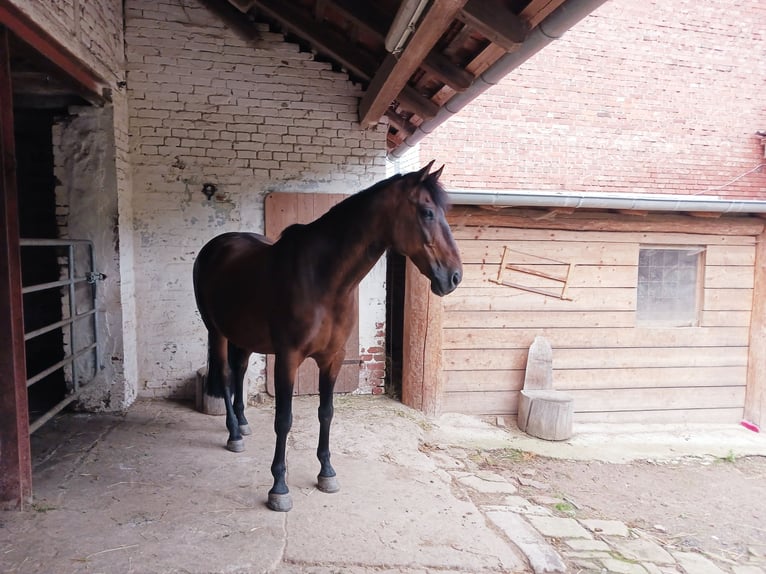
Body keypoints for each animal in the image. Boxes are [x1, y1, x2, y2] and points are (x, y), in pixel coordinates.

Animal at [195, 162, 464, 512]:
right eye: (427, 212)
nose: (455, 276)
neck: (322, 279)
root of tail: (215, 247)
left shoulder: (333, 359)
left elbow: (327, 412)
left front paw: (327, 472)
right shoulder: (288, 359)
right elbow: (284, 419)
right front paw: (279, 487)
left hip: (243, 335)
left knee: (239, 371)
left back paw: (242, 423)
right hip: (216, 331)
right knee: (226, 375)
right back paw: (233, 435)